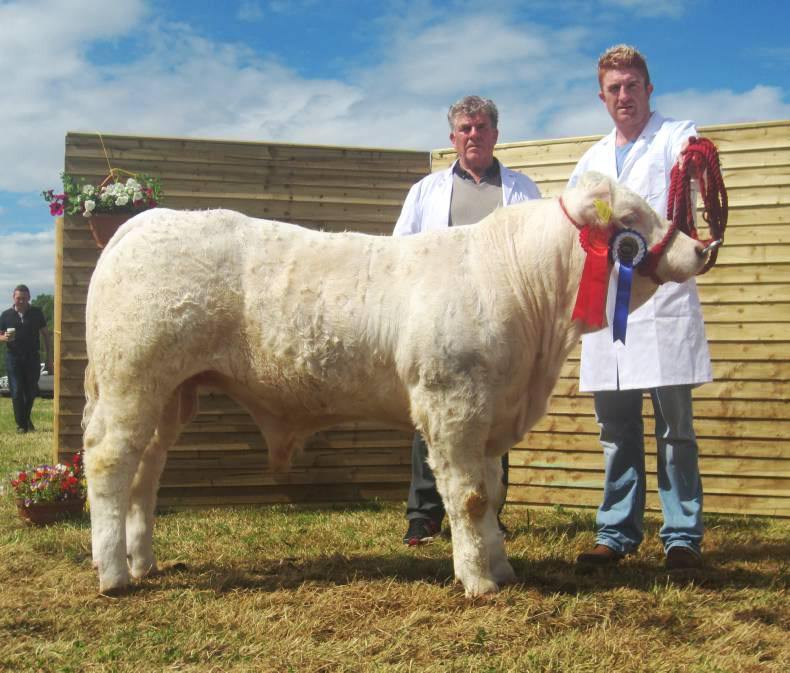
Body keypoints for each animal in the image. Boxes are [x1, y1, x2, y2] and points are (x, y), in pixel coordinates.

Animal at [82, 171, 711, 596]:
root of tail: (140, 223)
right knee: (110, 462)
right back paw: (113, 574)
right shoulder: (452, 403)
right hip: (132, 377)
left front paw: (501, 567)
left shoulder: (491, 413)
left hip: (172, 393)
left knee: (145, 474)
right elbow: (470, 495)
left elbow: (491, 493)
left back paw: (143, 562)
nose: (702, 247)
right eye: (631, 219)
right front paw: (478, 582)